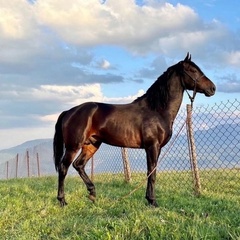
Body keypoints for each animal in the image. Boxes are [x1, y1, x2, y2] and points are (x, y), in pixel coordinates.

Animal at [53, 53, 216, 207]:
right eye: (193, 70)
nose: (212, 88)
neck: (157, 110)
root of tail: (69, 111)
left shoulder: (156, 148)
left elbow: (151, 172)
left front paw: (149, 199)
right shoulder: (152, 147)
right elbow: (152, 173)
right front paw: (152, 201)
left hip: (91, 145)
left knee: (78, 165)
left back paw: (92, 193)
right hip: (73, 146)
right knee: (63, 168)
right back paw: (62, 201)